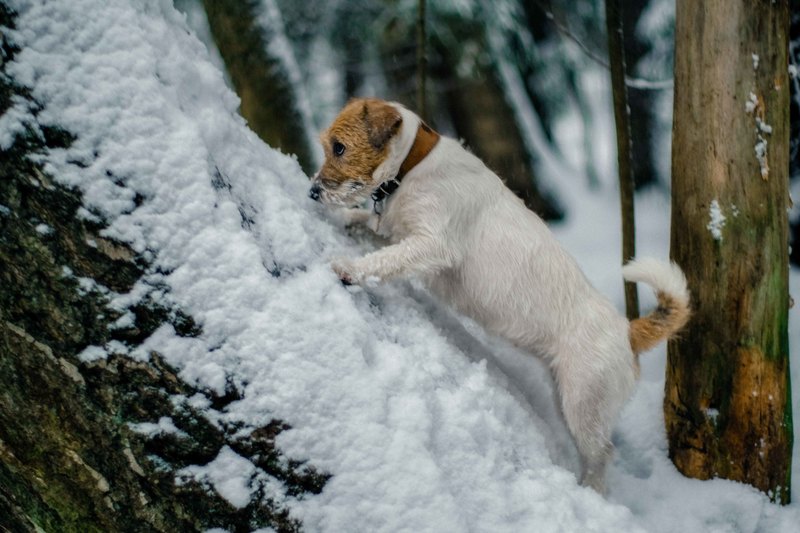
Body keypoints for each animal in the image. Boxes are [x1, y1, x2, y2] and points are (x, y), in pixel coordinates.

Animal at [310, 97, 692, 492]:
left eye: (339, 147)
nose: (313, 191)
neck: (414, 164)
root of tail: (627, 332)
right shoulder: (398, 233)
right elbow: (373, 232)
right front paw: (347, 219)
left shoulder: (431, 245)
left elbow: (385, 260)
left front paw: (350, 269)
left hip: (584, 404)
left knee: (601, 454)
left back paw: (591, 490)